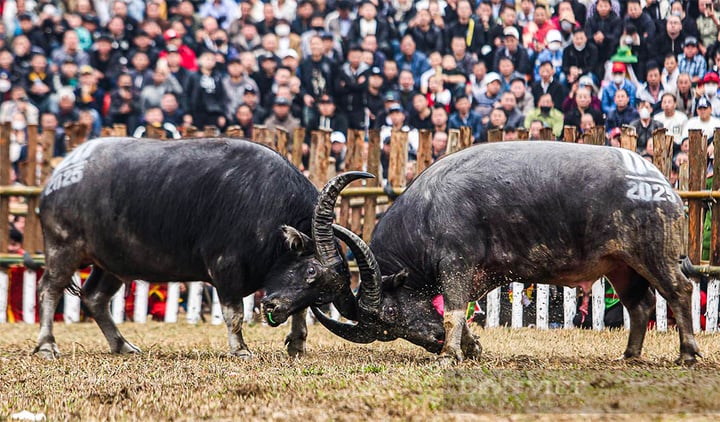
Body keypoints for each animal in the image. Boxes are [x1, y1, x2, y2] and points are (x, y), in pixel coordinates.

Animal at [33, 138, 372, 360]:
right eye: (311, 270)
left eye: (323, 295)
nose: (274, 310)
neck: (267, 210)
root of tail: (60, 175)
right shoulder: (225, 269)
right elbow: (234, 313)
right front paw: (241, 350)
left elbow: (299, 310)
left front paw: (296, 343)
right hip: (63, 246)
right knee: (49, 288)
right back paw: (47, 346)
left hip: (112, 263)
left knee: (94, 297)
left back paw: (122, 346)